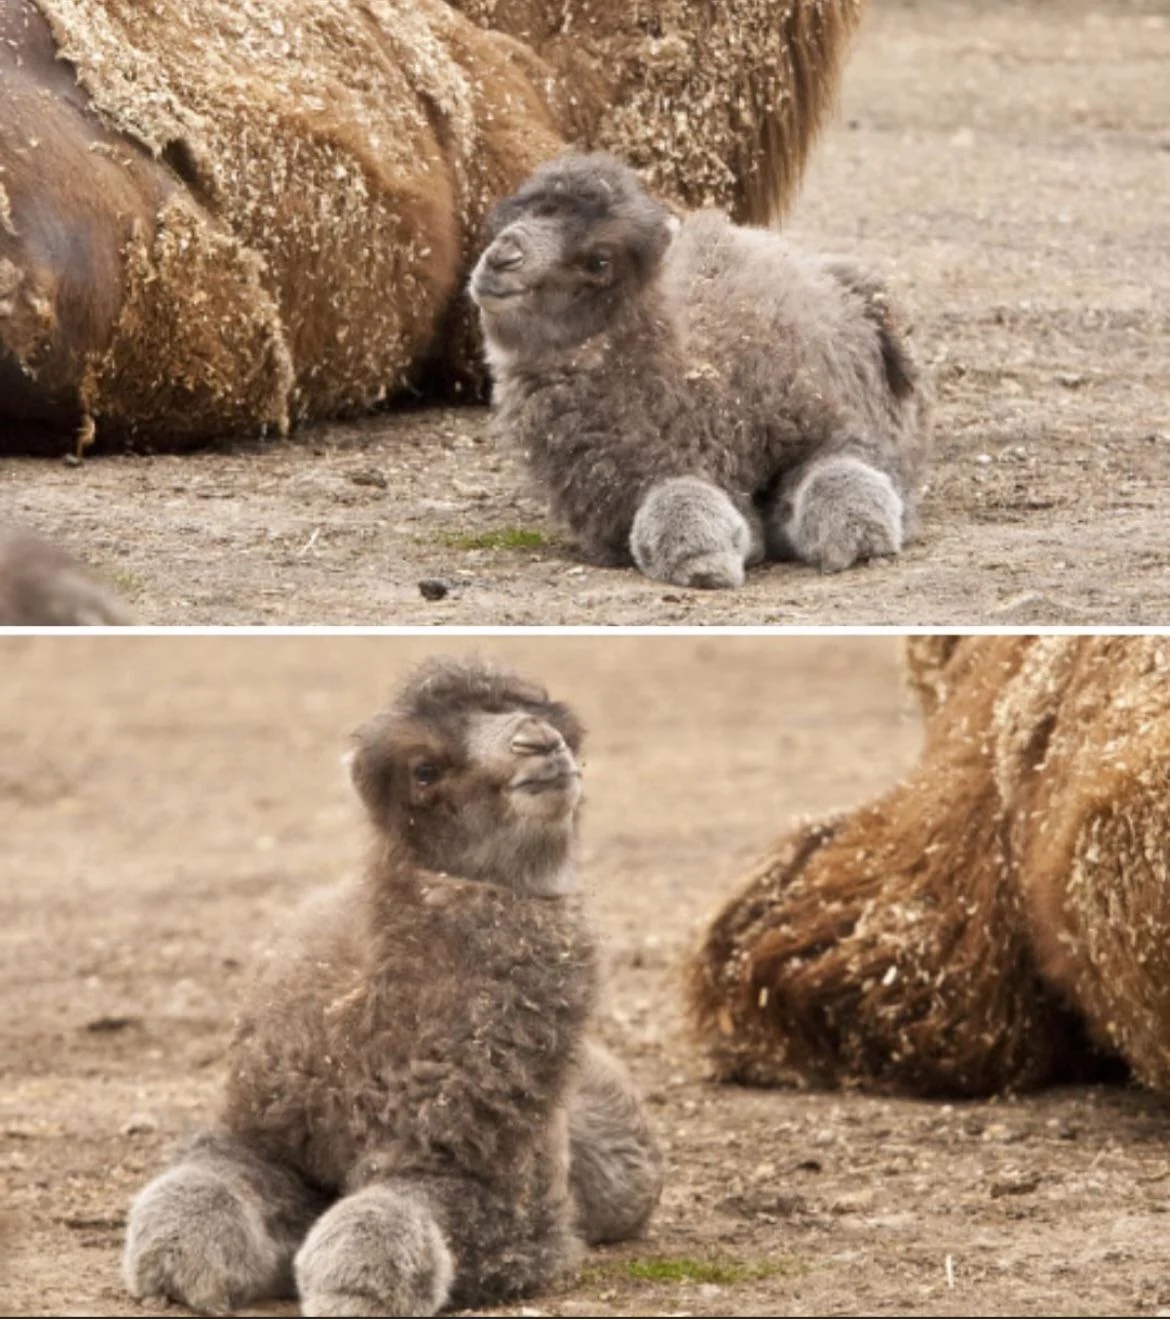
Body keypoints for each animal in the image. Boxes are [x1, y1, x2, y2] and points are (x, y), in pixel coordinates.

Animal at [125, 654, 667, 1313]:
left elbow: (395, 1208)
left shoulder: (489, 1187)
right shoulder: (266, 1133)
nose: (539, 741)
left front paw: (350, 1289)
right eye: (424, 771)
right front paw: (175, 1265)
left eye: (555, 721)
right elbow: (212, 1173)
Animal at [469, 151, 933, 590]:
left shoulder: (836, 423)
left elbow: (839, 475)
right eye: (511, 218)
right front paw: (708, 560)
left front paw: (860, 539)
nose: (500, 258)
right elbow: (675, 502)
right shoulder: (629, 490)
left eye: (600, 262)